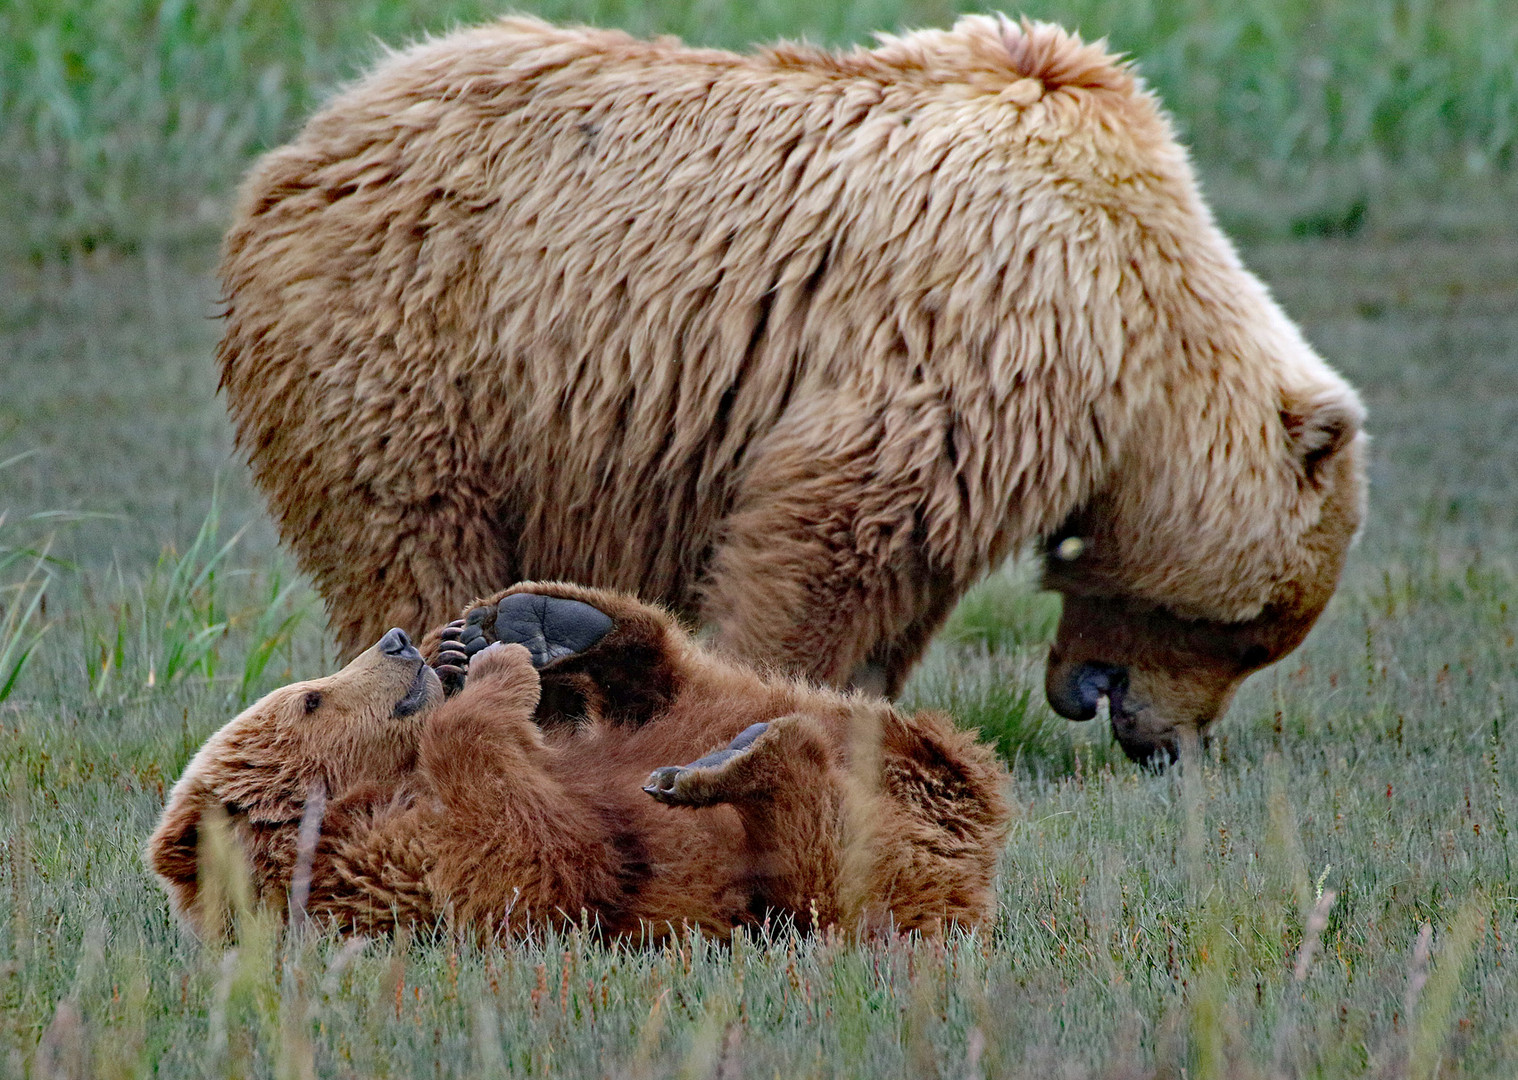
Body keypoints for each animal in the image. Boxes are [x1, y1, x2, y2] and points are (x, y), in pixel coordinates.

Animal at [148, 583, 1014, 935]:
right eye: (310, 699)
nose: (397, 641)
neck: (384, 788)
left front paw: (466, 651)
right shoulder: (393, 870)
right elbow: (534, 859)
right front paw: (488, 680)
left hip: (796, 726)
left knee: (679, 684)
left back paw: (548, 619)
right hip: (857, 883)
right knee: (817, 862)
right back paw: (737, 763)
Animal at [220, 14, 1372, 759]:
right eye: (1248, 633)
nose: (1161, 740)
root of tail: (312, 136)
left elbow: (902, 586)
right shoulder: (979, 327)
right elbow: (830, 535)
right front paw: (781, 694)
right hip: (421, 344)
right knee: (411, 534)